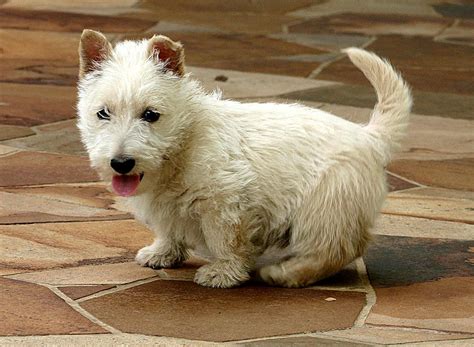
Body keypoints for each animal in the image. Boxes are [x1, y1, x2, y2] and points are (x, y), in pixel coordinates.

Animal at [77, 29, 412, 290]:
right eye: (103, 113)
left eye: (150, 114)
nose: (121, 163)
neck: (185, 143)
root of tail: (368, 136)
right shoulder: (166, 207)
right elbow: (168, 230)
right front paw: (162, 253)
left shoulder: (226, 204)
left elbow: (226, 241)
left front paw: (223, 273)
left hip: (324, 206)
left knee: (331, 250)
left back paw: (284, 273)